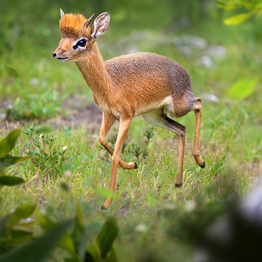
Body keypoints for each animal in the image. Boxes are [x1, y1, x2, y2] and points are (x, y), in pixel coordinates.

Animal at [53, 10, 205, 210]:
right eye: (62, 36)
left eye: (82, 41)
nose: (56, 53)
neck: (109, 82)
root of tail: (185, 73)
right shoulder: (108, 114)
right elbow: (102, 140)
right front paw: (133, 165)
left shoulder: (126, 117)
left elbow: (115, 155)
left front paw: (107, 203)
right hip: (154, 117)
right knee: (181, 129)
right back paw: (178, 182)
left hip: (178, 108)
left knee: (199, 104)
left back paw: (200, 161)